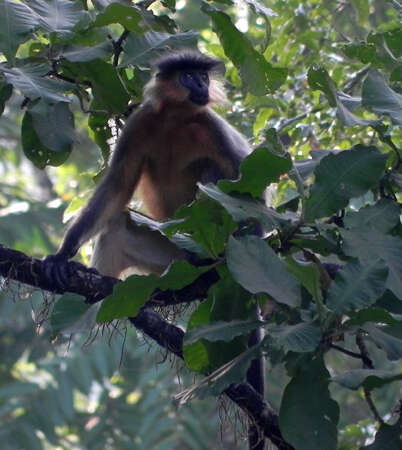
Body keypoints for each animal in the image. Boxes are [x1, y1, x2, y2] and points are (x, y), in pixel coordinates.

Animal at [45, 50, 264, 446]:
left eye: (202, 77)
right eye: (189, 76)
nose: (202, 85)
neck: (176, 120)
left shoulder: (211, 126)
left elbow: (252, 184)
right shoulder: (140, 123)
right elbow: (116, 187)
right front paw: (63, 254)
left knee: (213, 172)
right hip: (171, 260)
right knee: (117, 224)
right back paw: (94, 284)